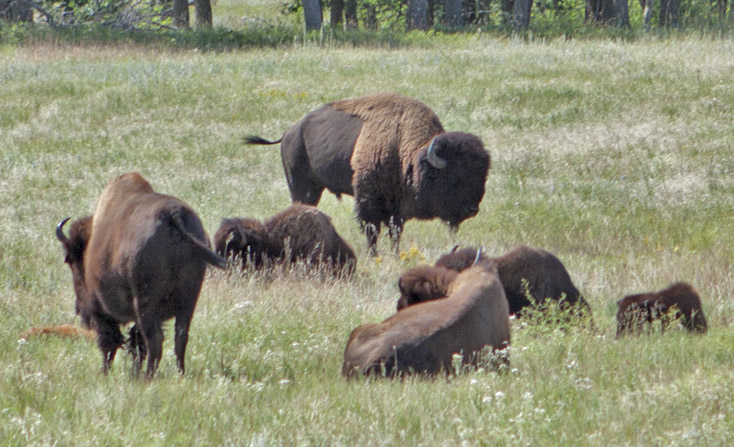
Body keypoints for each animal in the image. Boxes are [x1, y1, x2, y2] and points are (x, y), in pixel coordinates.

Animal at [57, 172, 226, 378]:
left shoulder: (100, 309)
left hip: (146, 303)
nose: (78, 308)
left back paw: (147, 377)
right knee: (180, 336)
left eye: (71, 260)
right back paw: (179, 373)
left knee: (154, 339)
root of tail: (172, 214)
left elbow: (110, 342)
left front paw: (105, 372)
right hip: (188, 300)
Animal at [244, 93, 492, 256]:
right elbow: (371, 230)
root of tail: (289, 132)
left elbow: (395, 231)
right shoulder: (368, 199)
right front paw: (374, 256)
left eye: (482, 176)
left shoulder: (396, 207)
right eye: (453, 178)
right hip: (301, 186)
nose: (472, 209)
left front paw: (395, 254)